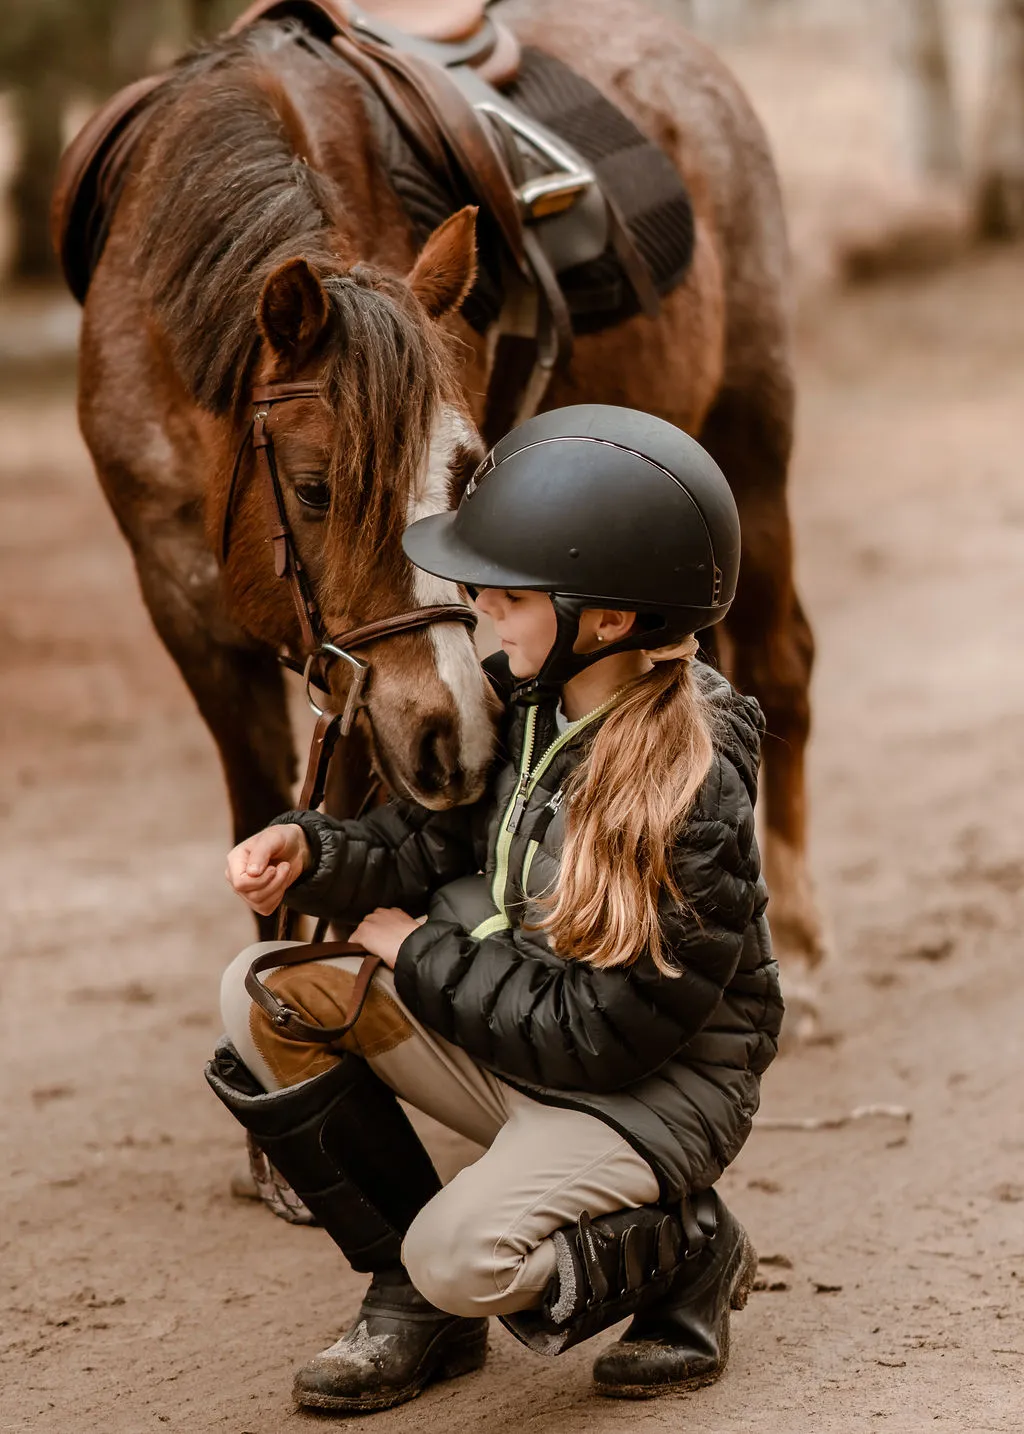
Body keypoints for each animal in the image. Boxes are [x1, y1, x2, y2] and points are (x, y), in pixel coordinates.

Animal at [74, 0, 824, 1018]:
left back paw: (805, 944)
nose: (458, 739)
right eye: (314, 489)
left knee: (783, 665)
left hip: (752, 433)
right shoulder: (191, 617)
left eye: (471, 477)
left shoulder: (356, 697)